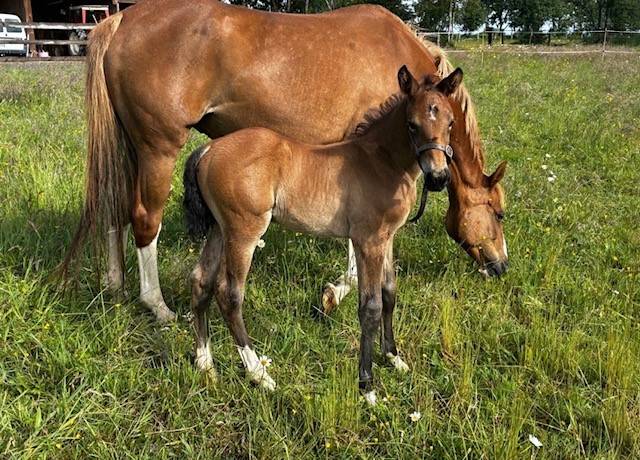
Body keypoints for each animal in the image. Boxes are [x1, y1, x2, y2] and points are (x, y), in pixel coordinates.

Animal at [62, 0, 508, 323]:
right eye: (500, 213)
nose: (501, 266)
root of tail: (120, 18)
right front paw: (337, 290)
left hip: (130, 149)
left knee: (116, 208)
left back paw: (115, 285)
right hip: (158, 149)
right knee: (143, 218)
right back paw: (157, 306)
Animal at [182, 66, 463, 404]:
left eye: (450, 122)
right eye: (412, 124)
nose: (438, 177)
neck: (380, 161)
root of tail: (209, 149)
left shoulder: (387, 238)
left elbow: (390, 293)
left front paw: (394, 358)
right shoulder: (368, 240)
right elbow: (370, 306)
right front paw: (367, 386)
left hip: (218, 229)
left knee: (201, 281)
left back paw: (205, 364)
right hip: (243, 231)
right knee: (229, 293)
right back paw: (259, 373)